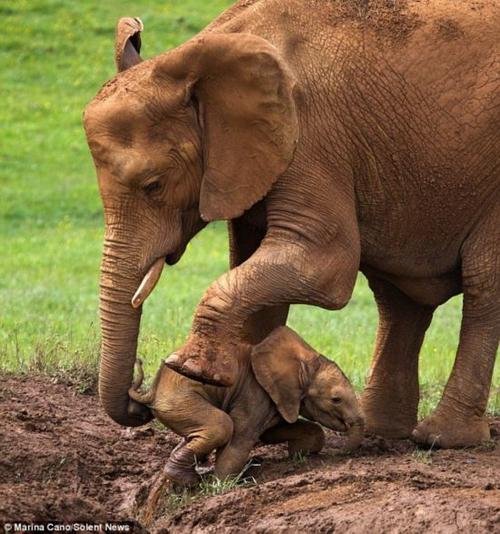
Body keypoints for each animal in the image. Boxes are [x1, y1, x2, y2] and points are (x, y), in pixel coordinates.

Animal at [84, 2, 498, 450]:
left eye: (154, 185)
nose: (138, 399)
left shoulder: (313, 136)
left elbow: (323, 265)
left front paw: (191, 369)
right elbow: (253, 270)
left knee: (482, 284)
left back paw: (443, 439)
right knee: (397, 299)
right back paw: (384, 430)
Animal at [129, 326, 364, 486]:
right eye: (336, 399)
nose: (342, 452)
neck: (304, 362)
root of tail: (151, 391)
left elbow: (271, 431)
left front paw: (299, 453)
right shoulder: (255, 391)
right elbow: (241, 438)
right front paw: (220, 486)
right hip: (179, 399)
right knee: (221, 426)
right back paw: (187, 480)